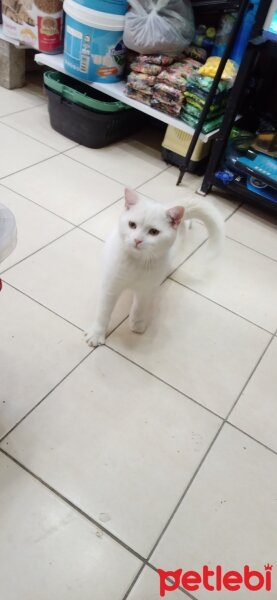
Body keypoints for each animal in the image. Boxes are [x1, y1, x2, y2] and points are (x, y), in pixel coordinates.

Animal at [84, 188, 224, 346]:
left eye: (154, 232)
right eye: (132, 225)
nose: (137, 240)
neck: (137, 263)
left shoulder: (146, 290)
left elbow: (139, 307)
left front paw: (137, 323)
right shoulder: (111, 286)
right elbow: (103, 312)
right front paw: (96, 334)